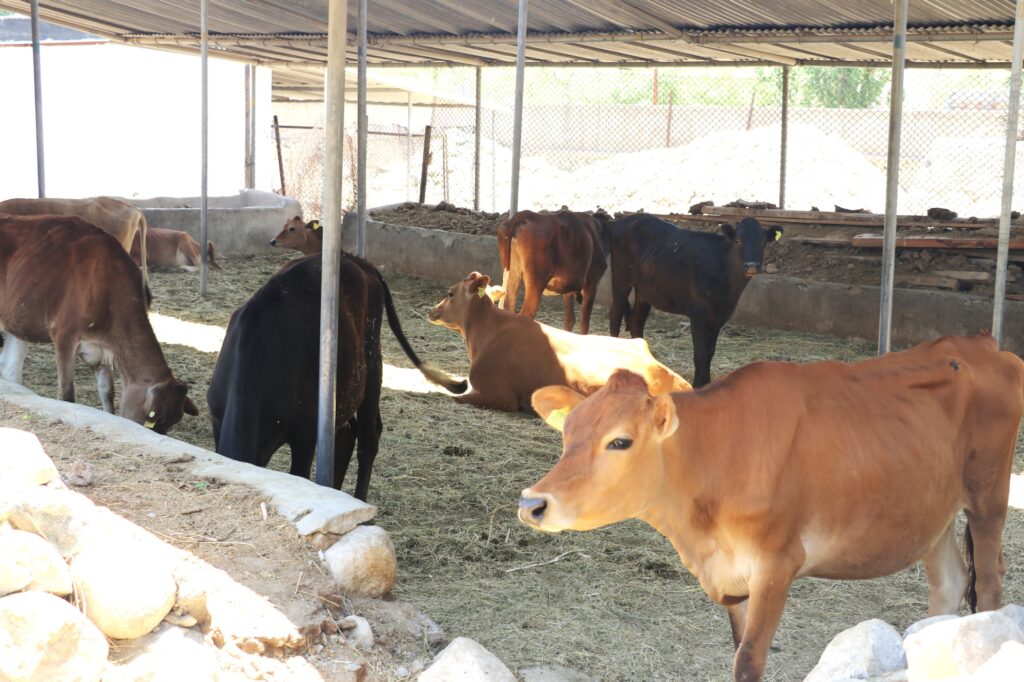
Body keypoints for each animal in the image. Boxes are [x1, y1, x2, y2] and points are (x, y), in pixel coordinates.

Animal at [0, 214, 198, 433]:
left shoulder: (102, 350)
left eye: (173, 421)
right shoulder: (64, 335)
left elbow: (108, 392)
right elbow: (67, 396)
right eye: (155, 418)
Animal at [207, 253, 465, 501]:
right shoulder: (217, 419)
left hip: (372, 363)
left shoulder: (305, 433)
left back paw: (360, 498)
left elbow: (300, 474)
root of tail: (355, 259)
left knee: (368, 438)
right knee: (347, 436)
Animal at [519, 333, 1024, 682]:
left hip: (987, 496)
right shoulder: (733, 574)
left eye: (620, 441)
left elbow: (748, 660)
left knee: (989, 580)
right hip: (931, 511)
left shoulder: (777, 562)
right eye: (567, 433)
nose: (532, 502)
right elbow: (737, 647)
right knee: (950, 582)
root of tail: (981, 343)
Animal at [605, 214, 782, 388]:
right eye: (738, 241)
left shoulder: (719, 316)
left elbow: (710, 352)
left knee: (636, 321)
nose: (752, 266)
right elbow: (701, 354)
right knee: (615, 315)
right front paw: (697, 385)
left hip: (645, 290)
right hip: (621, 277)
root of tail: (622, 221)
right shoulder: (698, 314)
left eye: (763, 242)